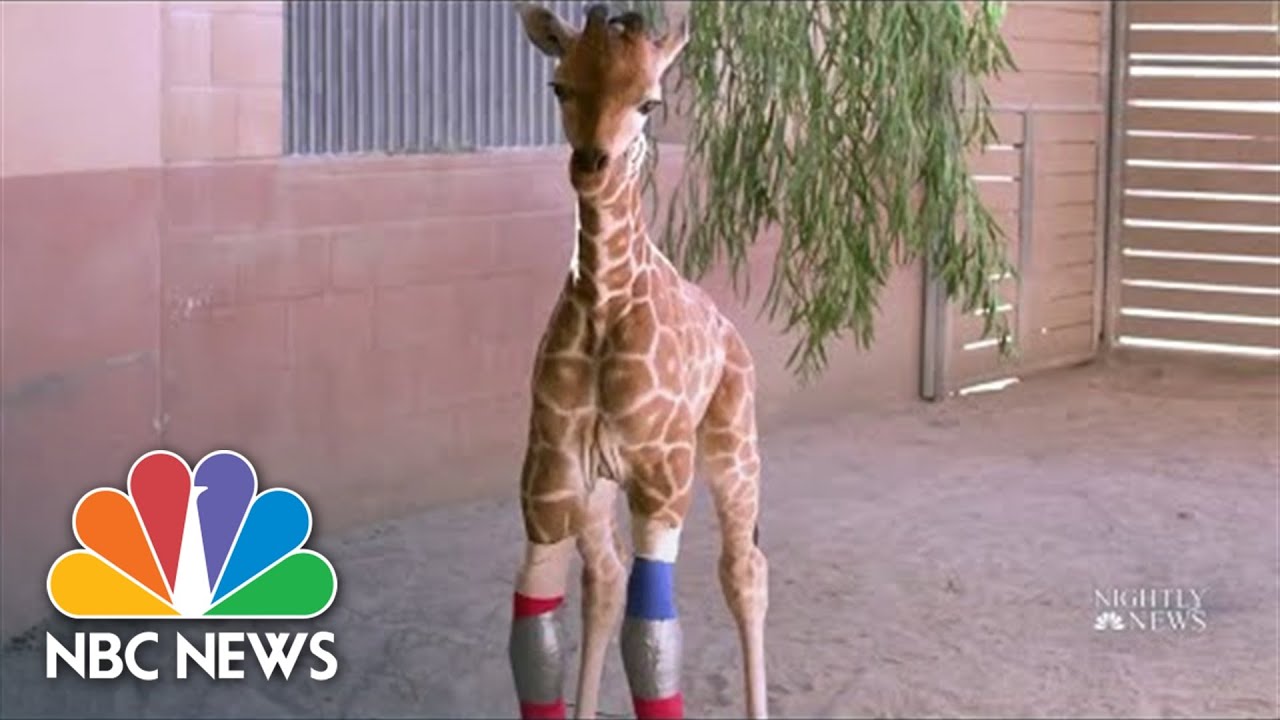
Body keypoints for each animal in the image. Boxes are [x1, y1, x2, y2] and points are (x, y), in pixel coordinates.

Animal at [507, 3, 768, 720]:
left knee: (745, 571)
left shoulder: (662, 480)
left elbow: (652, 640)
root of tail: (730, 331)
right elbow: (536, 634)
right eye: (560, 87)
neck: (604, 305)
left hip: (734, 449)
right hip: (599, 492)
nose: (591, 165)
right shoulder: (550, 486)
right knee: (605, 579)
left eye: (650, 101)